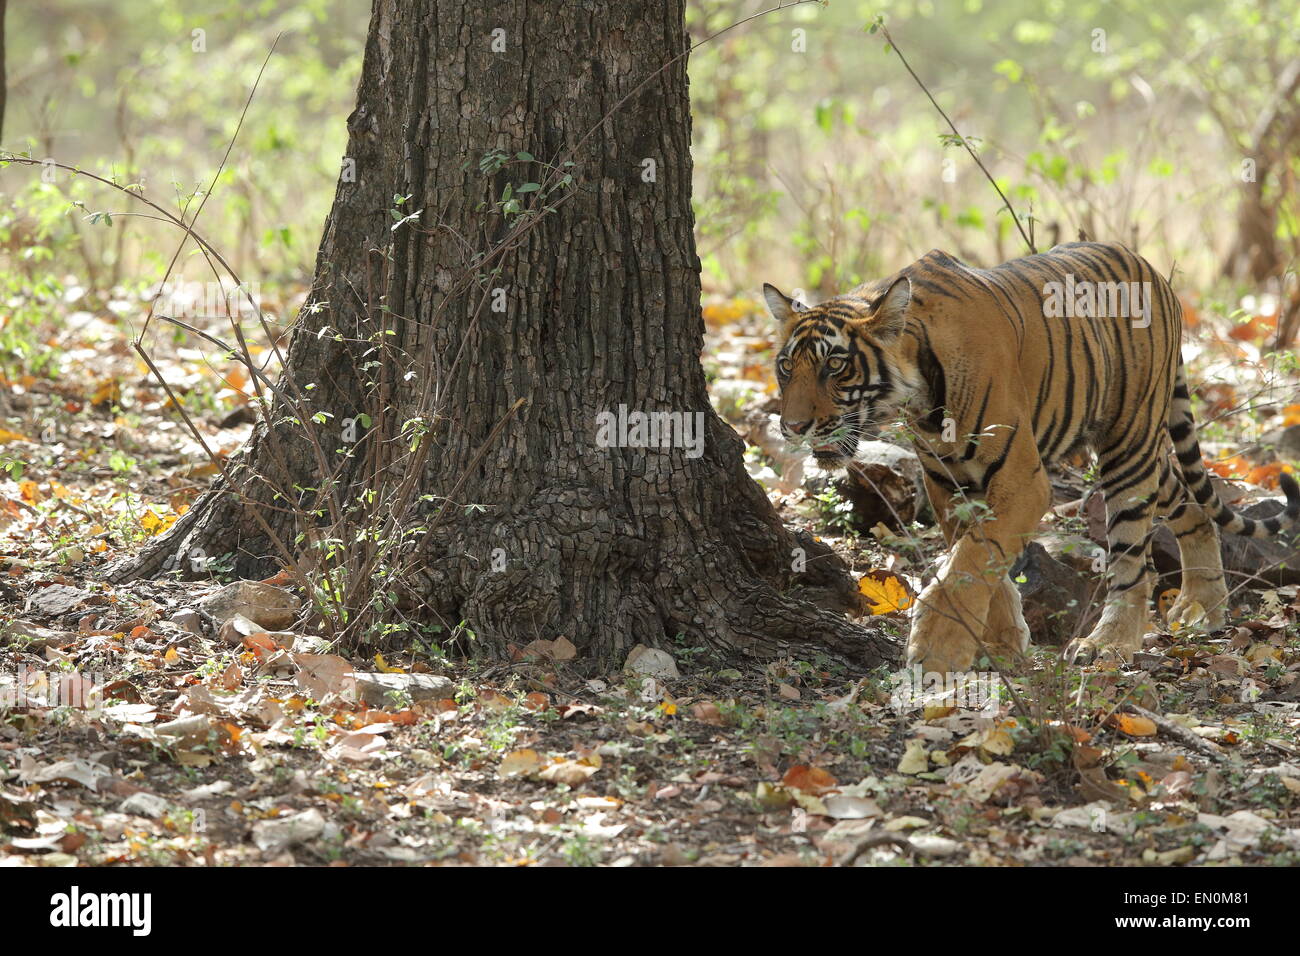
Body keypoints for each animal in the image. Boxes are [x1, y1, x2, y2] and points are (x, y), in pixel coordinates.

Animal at [764, 239, 1294, 671]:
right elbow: (983, 561)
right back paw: (1202, 606)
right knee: (1191, 505)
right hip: (1141, 454)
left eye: (836, 366)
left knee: (1132, 558)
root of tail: (1153, 270)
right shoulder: (948, 485)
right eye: (787, 366)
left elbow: (971, 561)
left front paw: (937, 648)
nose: (792, 426)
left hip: (1130, 441)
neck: (919, 396)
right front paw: (1002, 644)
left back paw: (1110, 643)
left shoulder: (1023, 479)